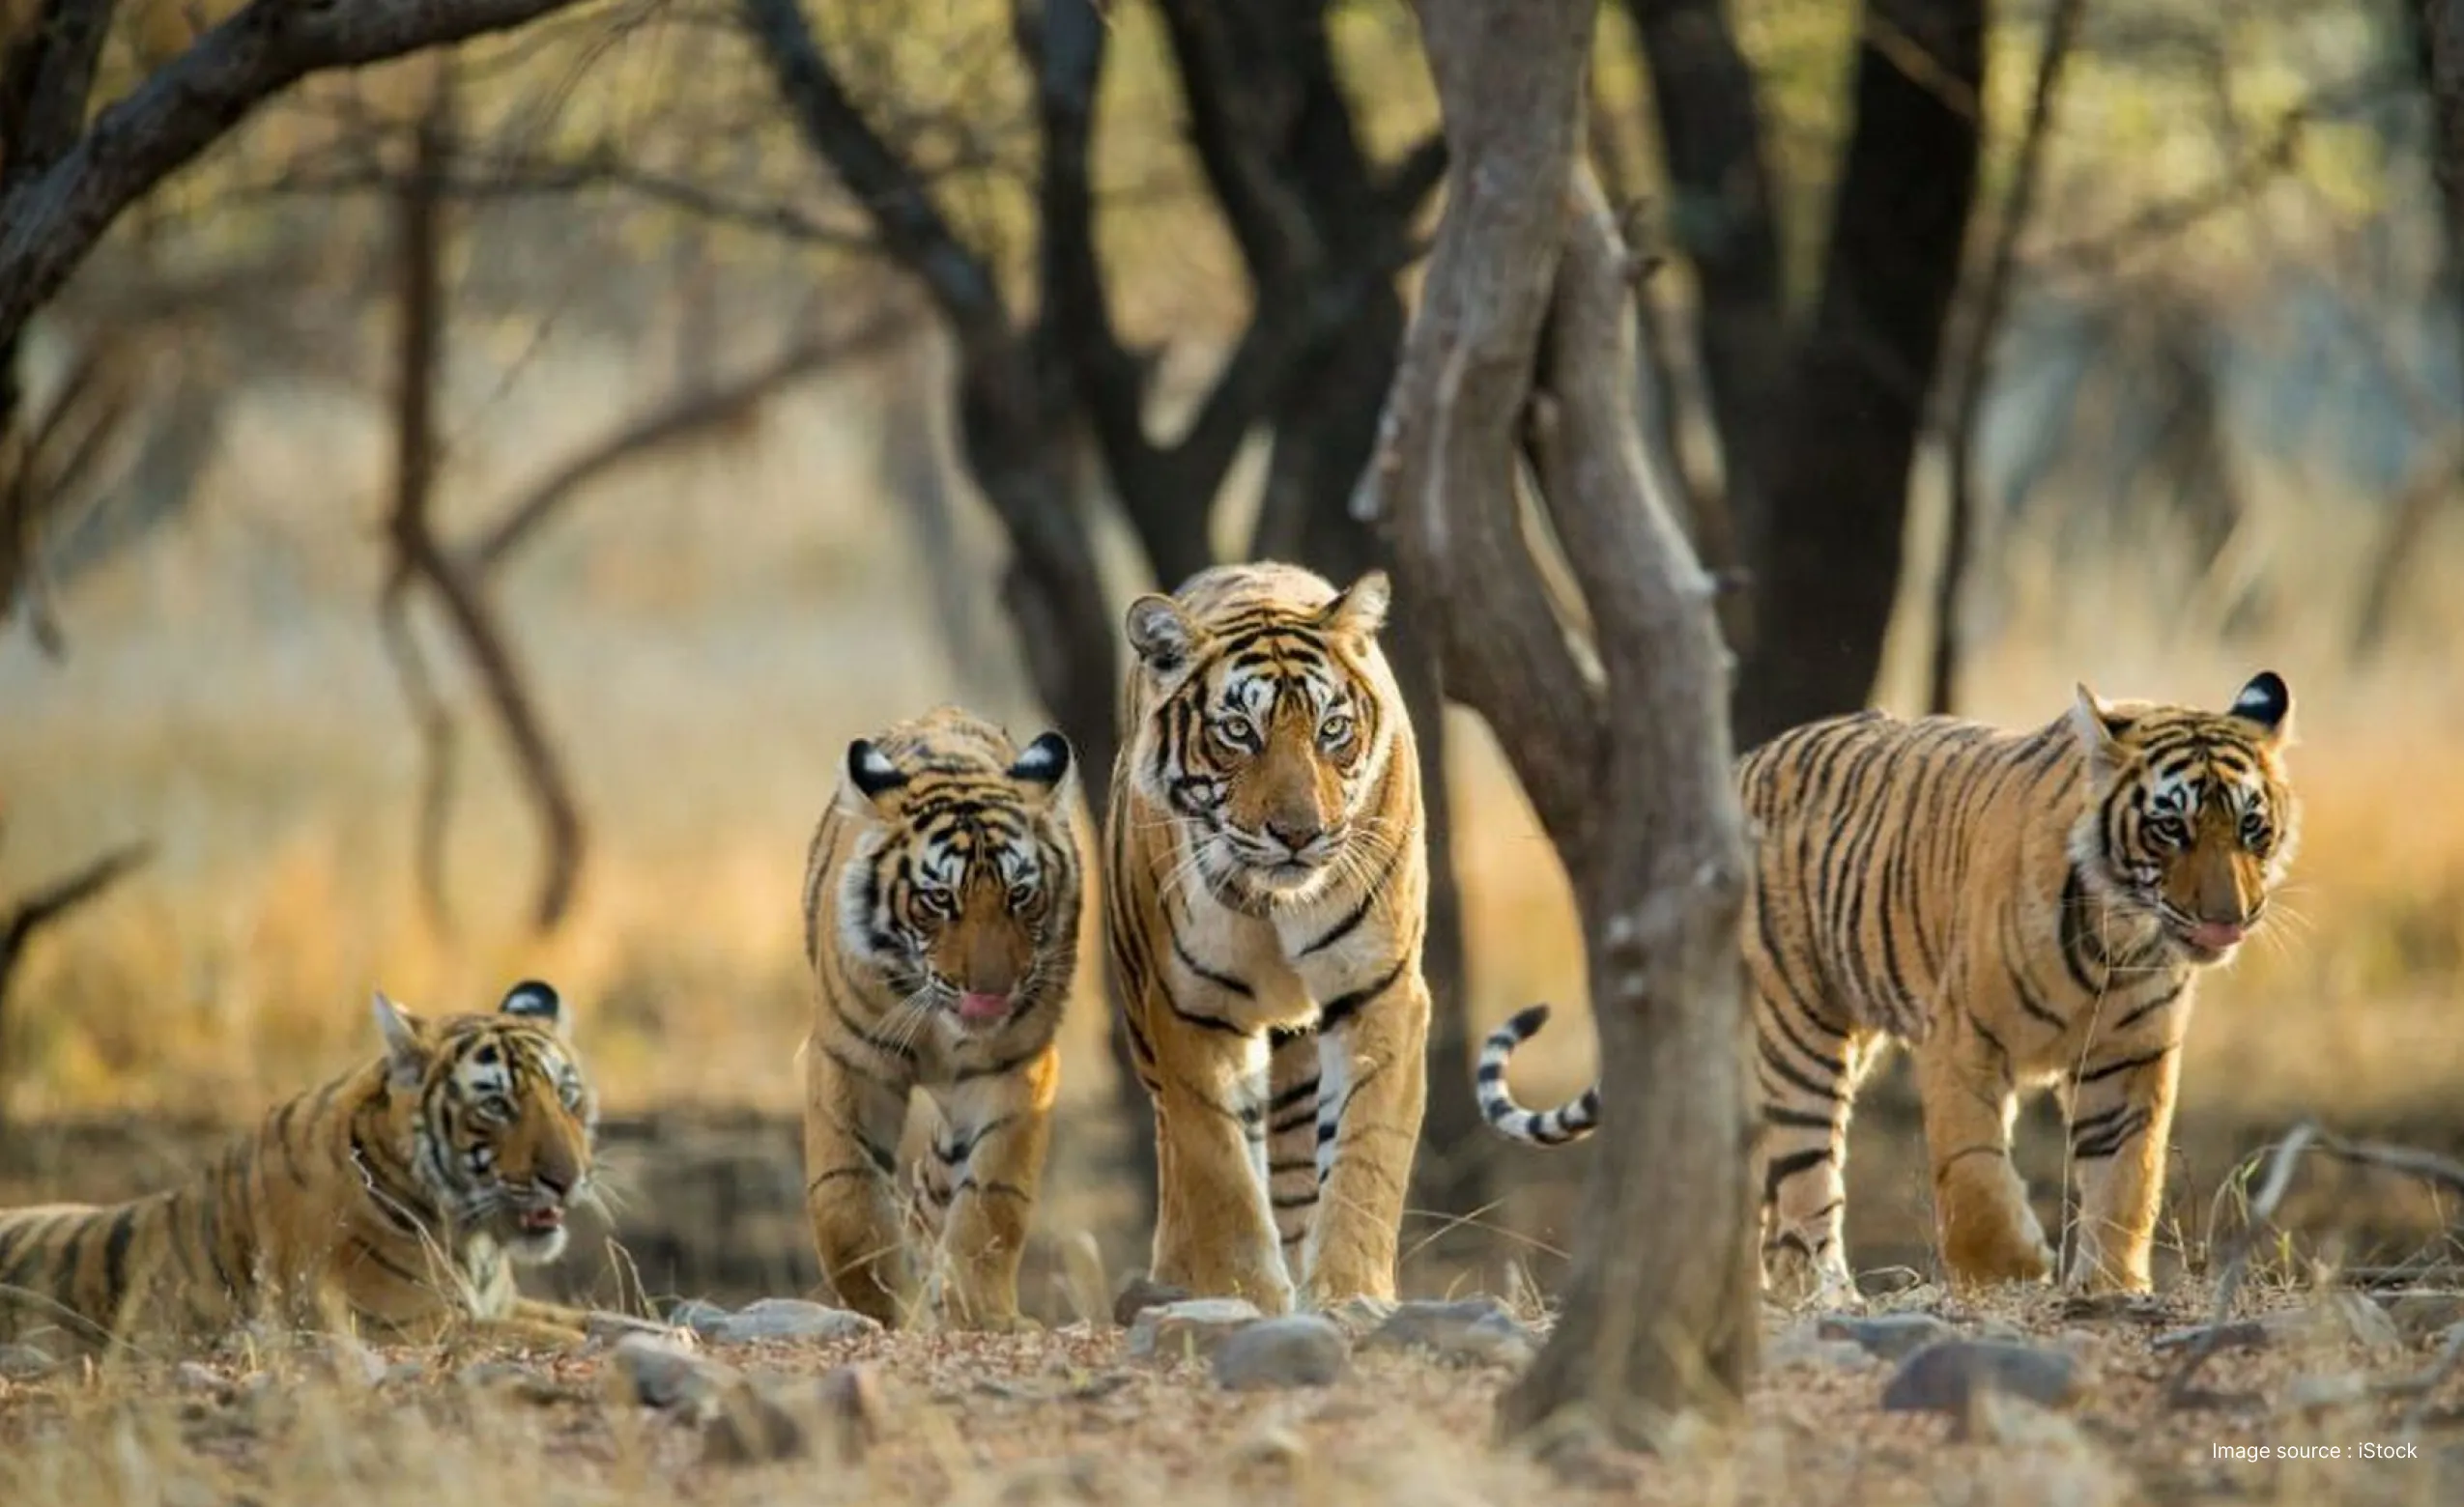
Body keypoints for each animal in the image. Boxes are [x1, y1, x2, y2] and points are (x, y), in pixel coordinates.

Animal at [0, 978, 600, 1357]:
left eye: (567, 1096)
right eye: (496, 1105)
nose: (567, 1180)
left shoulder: (506, 1302)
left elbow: (597, 1321)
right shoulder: (402, 1323)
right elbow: (565, 1337)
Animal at [798, 704, 1083, 1332]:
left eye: (1020, 895)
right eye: (938, 899)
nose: (992, 993)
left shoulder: (1016, 1068)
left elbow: (991, 1200)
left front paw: (979, 1313)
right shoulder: (849, 1059)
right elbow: (845, 1200)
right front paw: (883, 1306)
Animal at [1105, 560, 1431, 1314]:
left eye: (1332, 729)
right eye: (1237, 731)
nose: (1299, 834)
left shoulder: (1380, 990)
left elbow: (1366, 1155)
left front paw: (1349, 1293)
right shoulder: (1192, 1009)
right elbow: (1219, 1168)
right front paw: (1242, 1294)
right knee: (1177, 1150)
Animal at [1475, 671, 2301, 1306]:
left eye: (2251, 828)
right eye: (2170, 829)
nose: (2228, 918)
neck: (2118, 937)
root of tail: (1739, 765)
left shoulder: (2129, 1059)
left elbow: (2128, 1176)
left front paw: (2111, 1286)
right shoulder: (1962, 1038)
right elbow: (1972, 1169)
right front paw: (2010, 1270)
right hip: (1798, 1033)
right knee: (1805, 1184)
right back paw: (1825, 1297)